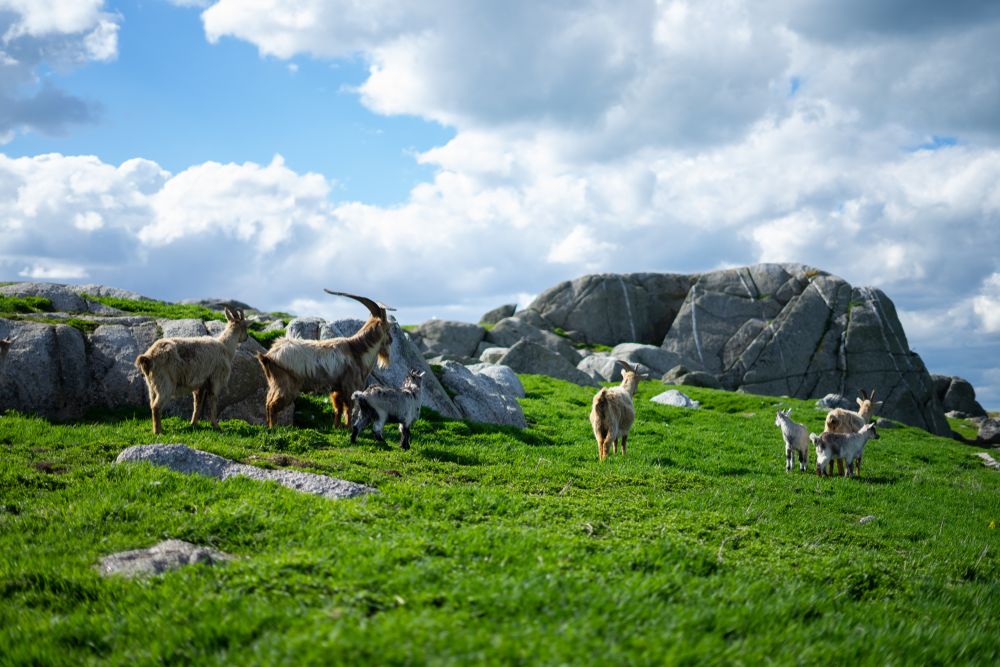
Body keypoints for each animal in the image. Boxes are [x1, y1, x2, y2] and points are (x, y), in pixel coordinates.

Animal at [256, 290, 392, 429]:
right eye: (388, 327)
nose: (391, 340)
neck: (356, 350)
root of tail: (269, 356)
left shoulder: (337, 389)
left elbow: (338, 409)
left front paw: (336, 427)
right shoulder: (349, 385)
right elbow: (348, 408)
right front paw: (348, 427)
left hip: (274, 383)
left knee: (268, 402)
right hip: (286, 385)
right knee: (272, 405)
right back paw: (273, 428)